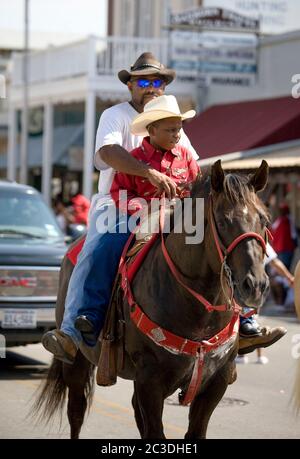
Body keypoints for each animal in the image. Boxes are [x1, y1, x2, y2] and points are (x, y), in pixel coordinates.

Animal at [34, 161, 270, 438]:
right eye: (223, 221)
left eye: (264, 219)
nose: (255, 285)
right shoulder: (150, 381)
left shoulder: (216, 382)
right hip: (77, 363)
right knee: (76, 412)